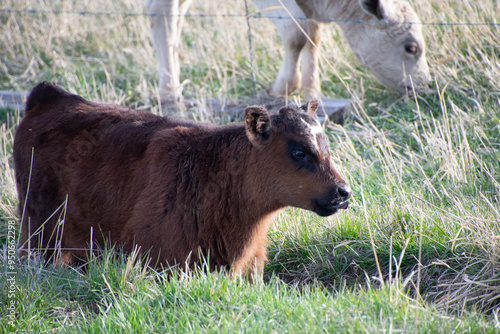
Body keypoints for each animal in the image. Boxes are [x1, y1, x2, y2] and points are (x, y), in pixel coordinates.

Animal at [145, 0, 430, 102]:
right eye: (411, 48)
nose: (424, 87)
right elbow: (297, 30)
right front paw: (285, 86)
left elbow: (313, 33)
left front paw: (312, 89)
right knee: (162, 10)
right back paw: (169, 88)